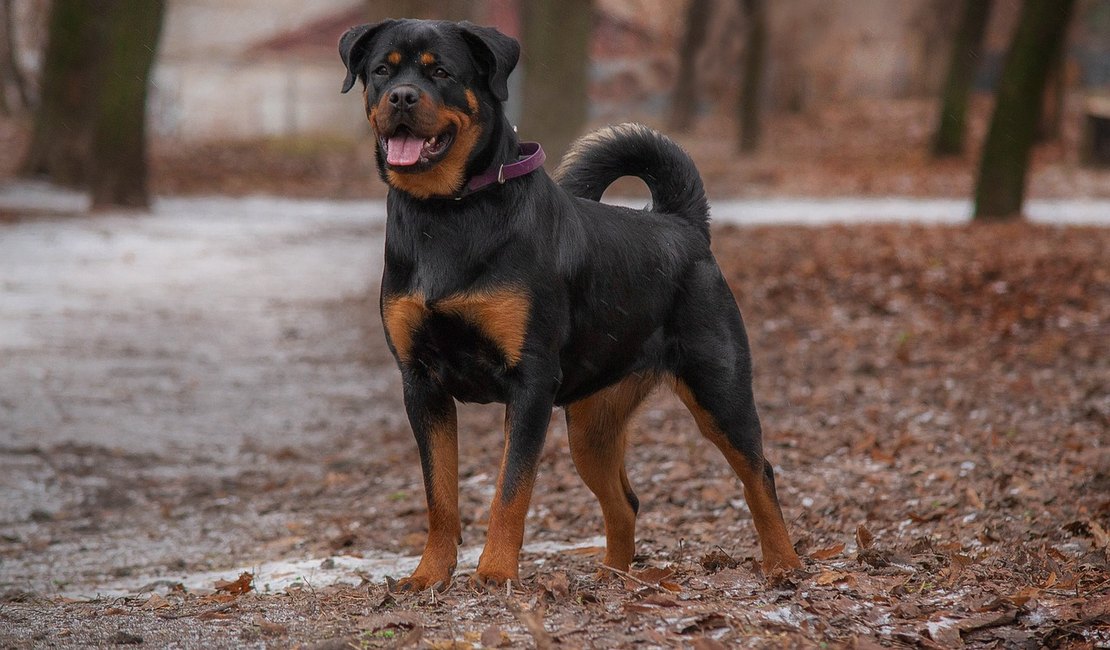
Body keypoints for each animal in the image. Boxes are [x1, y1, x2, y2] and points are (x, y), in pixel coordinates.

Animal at [337, 18, 799, 585]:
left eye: (440, 72)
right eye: (382, 70)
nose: (401, 96)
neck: (447, 213)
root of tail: (683, 224)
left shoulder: (531, 381)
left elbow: (510, 491)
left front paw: (495, 574)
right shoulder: (421, 384)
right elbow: (439, 497)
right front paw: (430, 575)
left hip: (719, 392)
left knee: (759, 474)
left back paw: (784, 565)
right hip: (592, 427)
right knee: (626, 501)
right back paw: (614, 579)